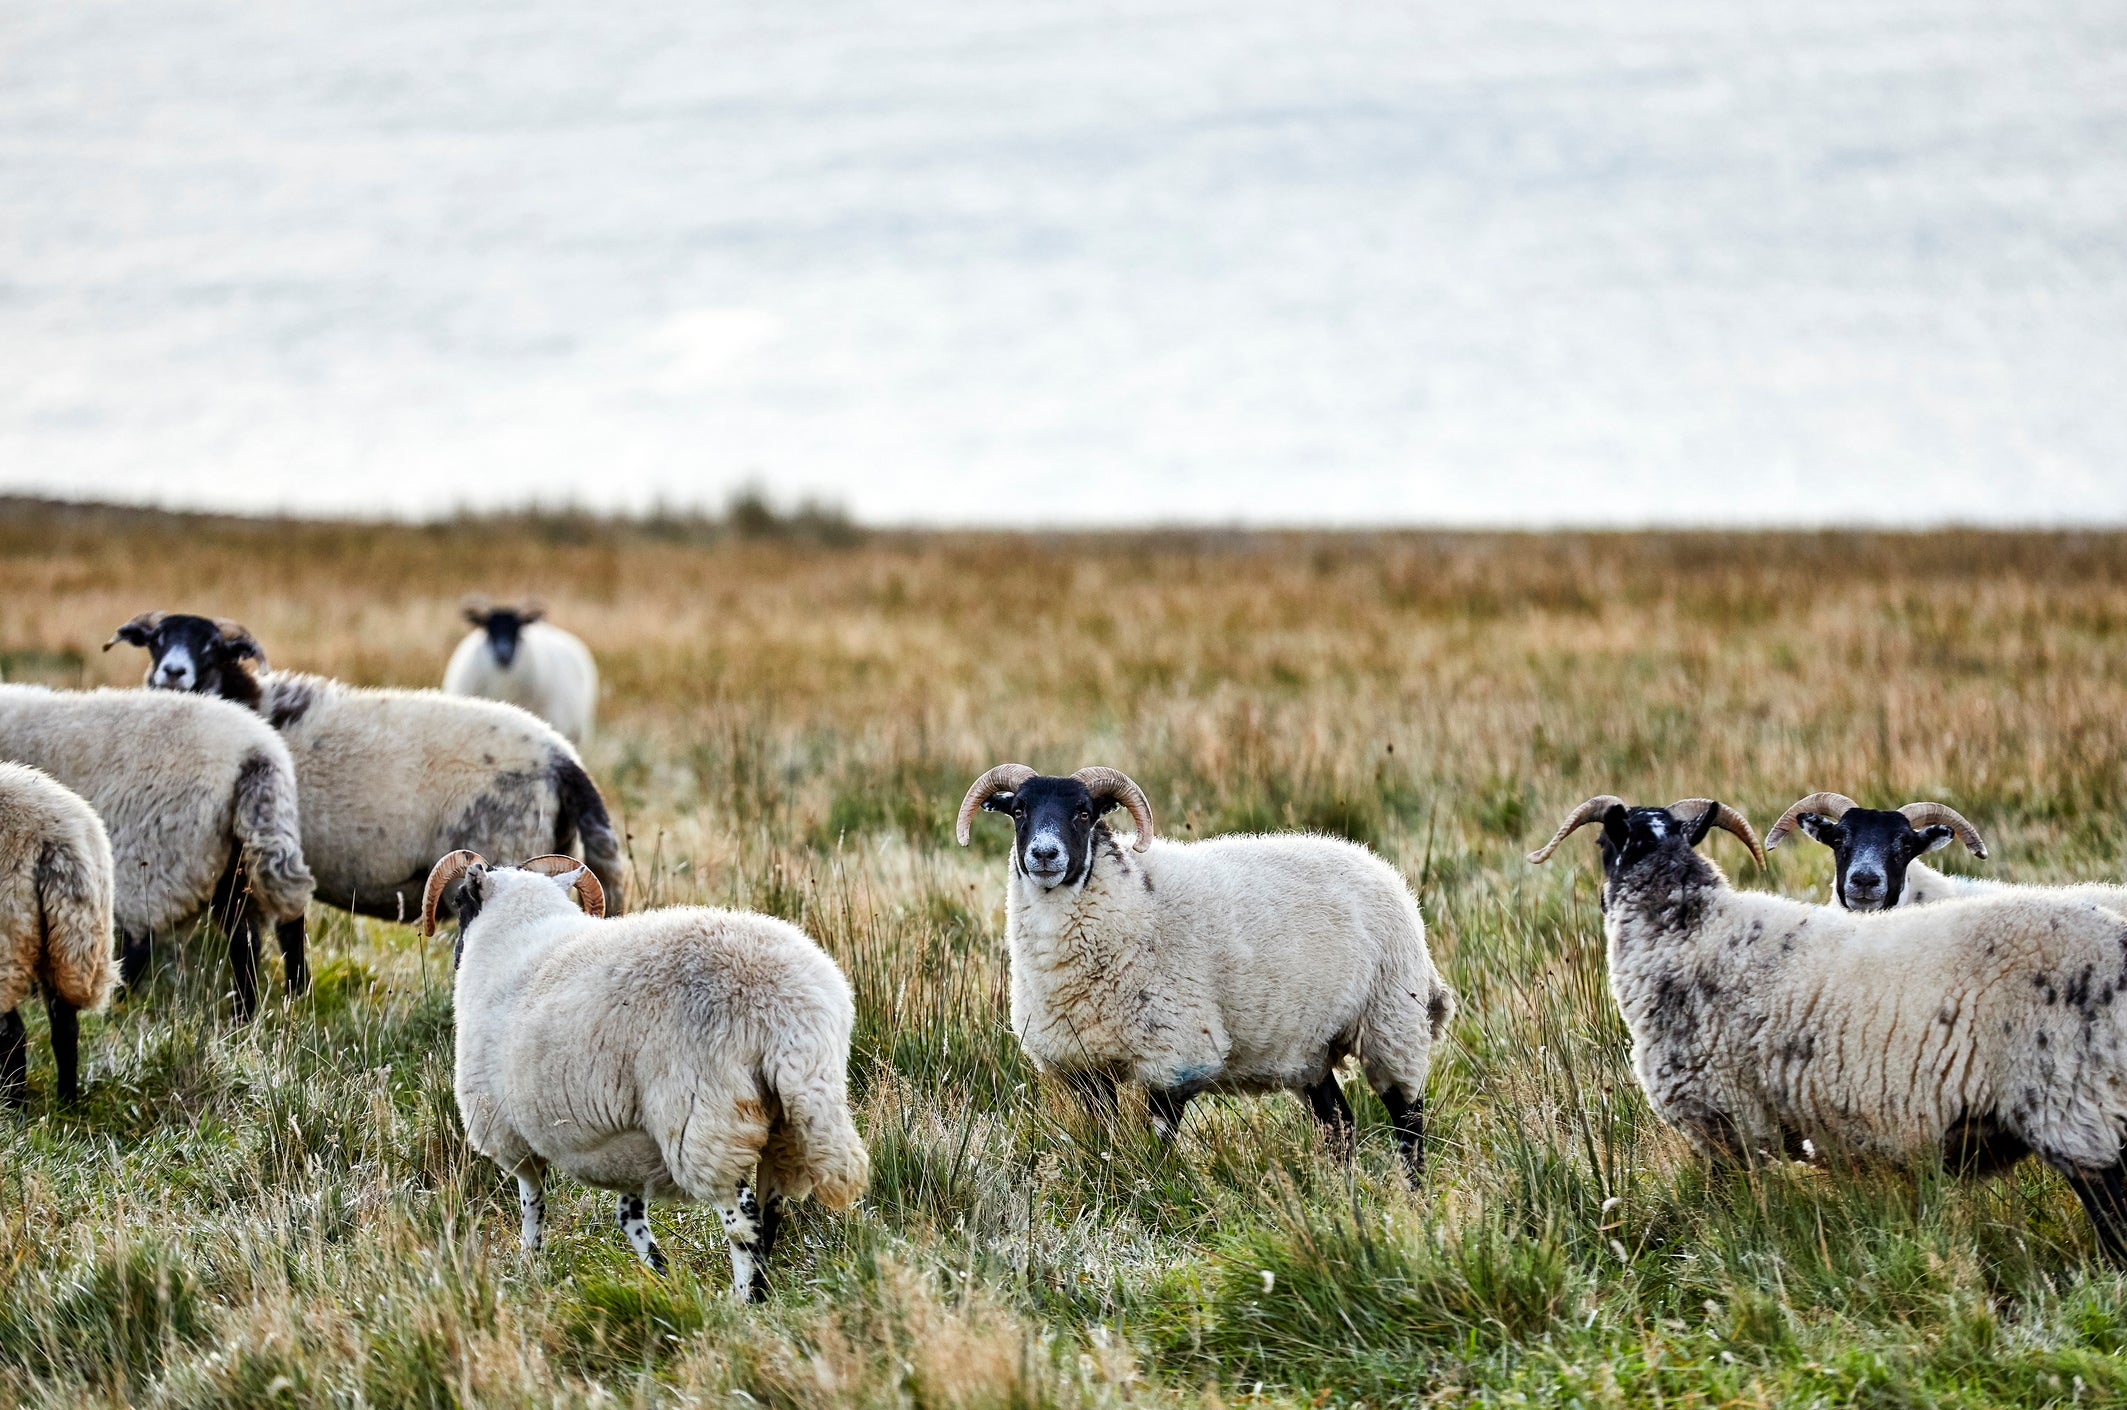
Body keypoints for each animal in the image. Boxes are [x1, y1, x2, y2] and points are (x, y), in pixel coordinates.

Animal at [0, 685, 313, 1018]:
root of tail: (256, 752)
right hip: (239, 860)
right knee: (259, 934)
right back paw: (265, 1004)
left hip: (153, 855)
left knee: (140, 941)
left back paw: (114, 1007)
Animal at [0, 763, 116, 1104]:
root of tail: (53, 837)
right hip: (68, 939)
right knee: (65, 1028)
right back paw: (67, 1103)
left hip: (9, 937)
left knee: (12, 1035)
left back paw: (14, 1108)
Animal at [418, 849, 868, 1300]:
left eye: (458, 902)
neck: (515, 934)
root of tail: (788, 1008)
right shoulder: (624, 1145)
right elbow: (629, 1215)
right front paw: (660, 1273)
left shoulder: (509, 1132)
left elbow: (533, 1204)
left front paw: (530, 1262)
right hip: (788, 1122)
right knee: (772, 1211)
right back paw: (760, 1289)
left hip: (706, 1117)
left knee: (743, 1219)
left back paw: (744, 1300)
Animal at [954, 763, 1455, 1181]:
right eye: (1019, 810)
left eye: (1083, 813)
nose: (1044, 854)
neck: (1135, 902)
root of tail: (1382, 868)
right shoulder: (1085, 1065)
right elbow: (1102, 1136)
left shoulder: (1176, 1055)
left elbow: (1160, 1138)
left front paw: (1158, 1185)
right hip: (1310, 1046)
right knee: (1339, 1122)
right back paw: (1340, 1191)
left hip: (1392, 1021)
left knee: (1409, 1120)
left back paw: (1413, 1196)